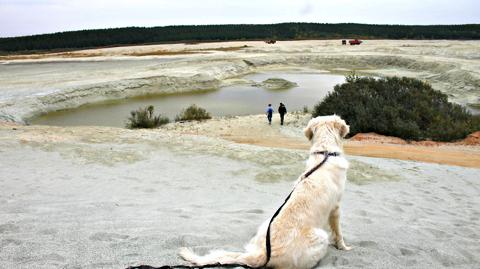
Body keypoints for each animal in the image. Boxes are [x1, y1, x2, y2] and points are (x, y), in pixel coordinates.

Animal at [180, 114, 352, 266]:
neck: (325, 153)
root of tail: (263, 254)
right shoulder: (336, 207)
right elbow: (339, 232)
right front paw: (344, 247)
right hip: (319, 236)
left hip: (264, 225)